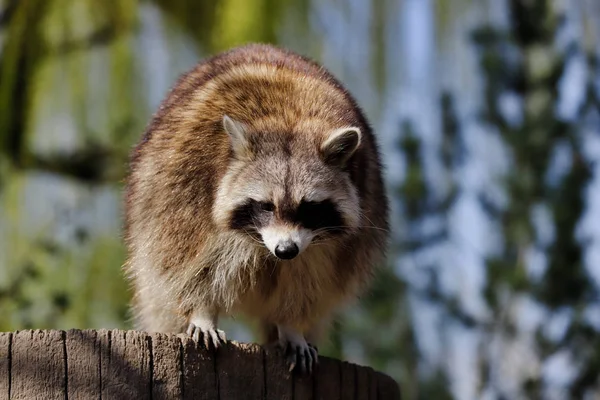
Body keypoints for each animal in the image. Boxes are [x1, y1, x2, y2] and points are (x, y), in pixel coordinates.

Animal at [124, 43, 392, 372]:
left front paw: (291, 327)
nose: (285, 250)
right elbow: (185, 264)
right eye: (265, 205)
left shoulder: (337, 236)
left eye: (309, 207)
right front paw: (202, 311)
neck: (289, 119)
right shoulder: (186, 187)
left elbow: (310, 281)